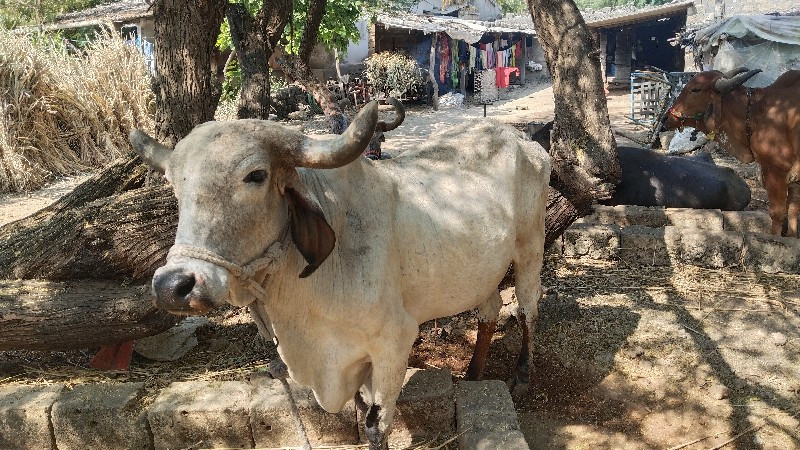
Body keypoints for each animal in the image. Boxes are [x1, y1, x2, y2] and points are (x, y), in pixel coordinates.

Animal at [664, 68, 800, 237]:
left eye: (696, 89)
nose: (665, 118)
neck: (757, 111)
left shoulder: (776, 171)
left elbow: (778, 213)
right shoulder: (794, 180)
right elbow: (793, 211)